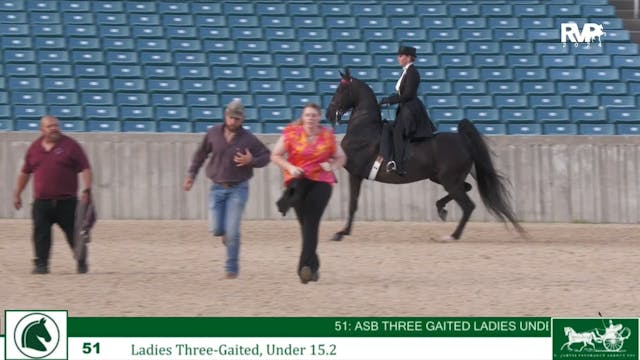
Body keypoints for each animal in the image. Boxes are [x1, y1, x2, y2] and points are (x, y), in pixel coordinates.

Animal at [324, 68, 524, 242]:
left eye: (341, 89)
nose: (328, 113)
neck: (364, 129)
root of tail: (463, 139)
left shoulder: (355, 173)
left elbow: (352, 204)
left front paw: (340, 233)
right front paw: (342, 232)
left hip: (449, 179)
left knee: (468, 206)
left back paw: (452, 236)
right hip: (444, 178)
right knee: (466, 189)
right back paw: (441, 209)